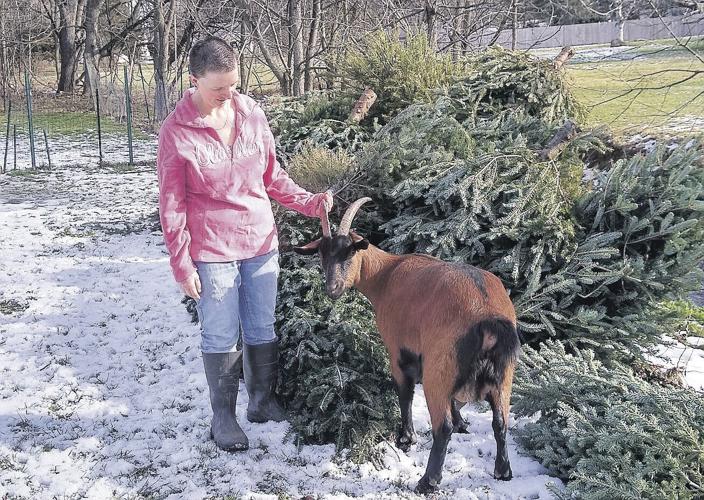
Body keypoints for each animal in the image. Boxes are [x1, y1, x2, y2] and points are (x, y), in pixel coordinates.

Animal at [294, 197, 521, 494]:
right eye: (322, 253)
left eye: (349, 253)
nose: (332, 289)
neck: (387, 275)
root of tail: (487, 315)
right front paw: (462, 424)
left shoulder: (398, 350)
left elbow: (405, 393)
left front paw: (405, 438)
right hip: (504, 375)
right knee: (501, 422)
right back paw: (502, 471)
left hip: (439, 368)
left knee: (442, 427)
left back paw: (428, 481)